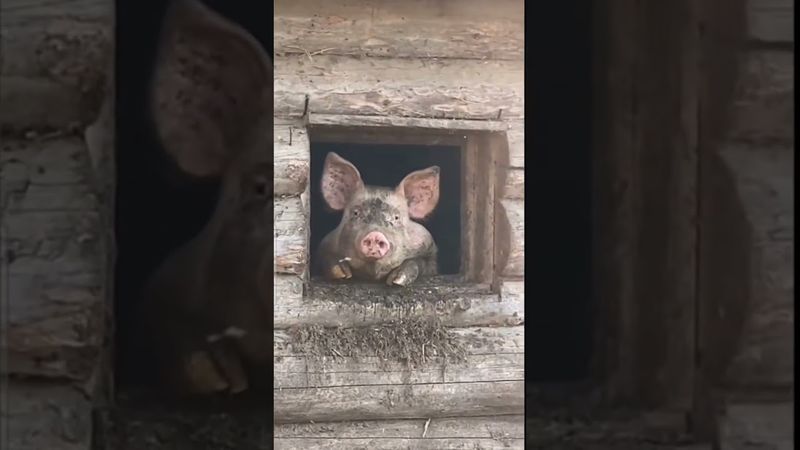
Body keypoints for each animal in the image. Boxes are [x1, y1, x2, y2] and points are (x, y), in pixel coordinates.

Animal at [317, 152, 441, 286]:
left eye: (396, 217)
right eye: (356, 213)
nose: (375, 235)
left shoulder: (428, 249)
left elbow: (418, 263)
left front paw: (398, 280)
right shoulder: (326, 245)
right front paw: (342, 274)